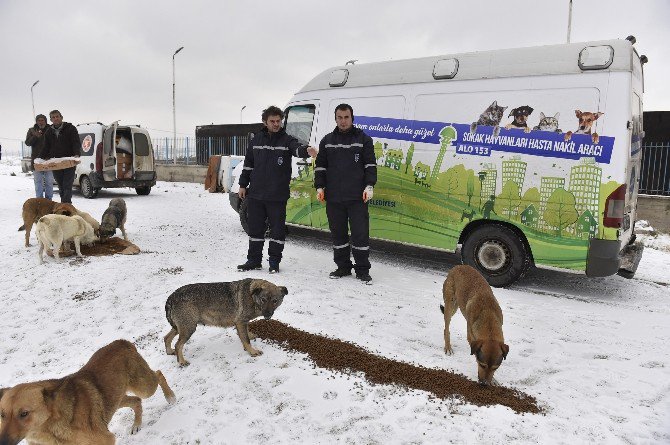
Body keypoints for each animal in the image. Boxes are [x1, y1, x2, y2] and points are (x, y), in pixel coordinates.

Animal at [0, 338, 176, 442]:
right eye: (1, 414)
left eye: (24, 414)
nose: (3, 441)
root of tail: (121, 342)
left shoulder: (106, 439)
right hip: (114, 400)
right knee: (135, 401)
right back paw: (136, 424)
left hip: (143, 386)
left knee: (158, 374)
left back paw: (170, 397)